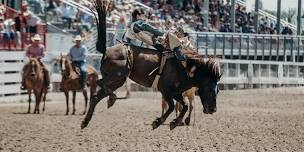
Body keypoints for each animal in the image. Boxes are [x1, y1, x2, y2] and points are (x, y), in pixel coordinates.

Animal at [81, 0, 221, 130]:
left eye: (218, 90)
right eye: (209, 88)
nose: (213, 110)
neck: (186, 68)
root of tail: (106, 50)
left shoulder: (176, 93)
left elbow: (185, 106)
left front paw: (174, 123)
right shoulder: (165, 90)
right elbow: (171, 107)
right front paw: (158, 122)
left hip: (118, 80)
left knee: (96, 96)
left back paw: (86, 121)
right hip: (116, 75)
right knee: (100, 83)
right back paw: (112, 98)